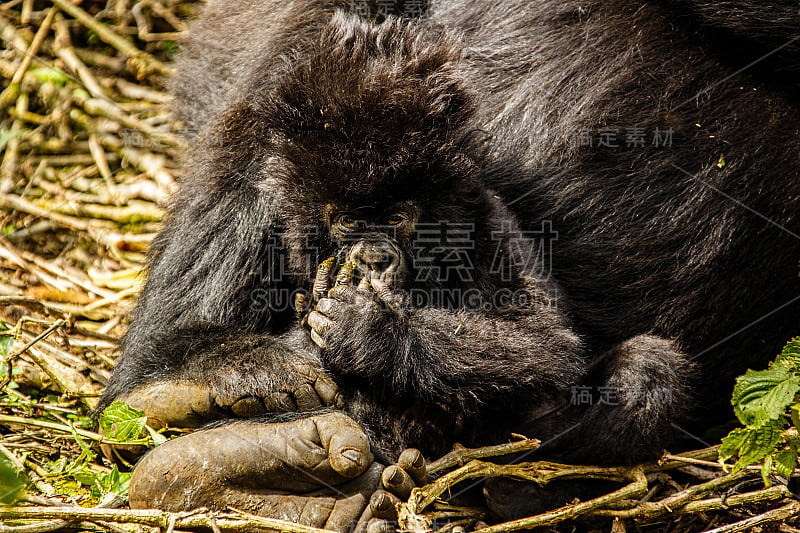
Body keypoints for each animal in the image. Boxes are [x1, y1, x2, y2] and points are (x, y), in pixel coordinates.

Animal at [98, 0, 800, 528]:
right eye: (346, 222)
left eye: (401, 215)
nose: (374, 256)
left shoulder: (483, 211)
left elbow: (541, 340)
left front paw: (375, 333)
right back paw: (197, 390)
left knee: (645, 375)